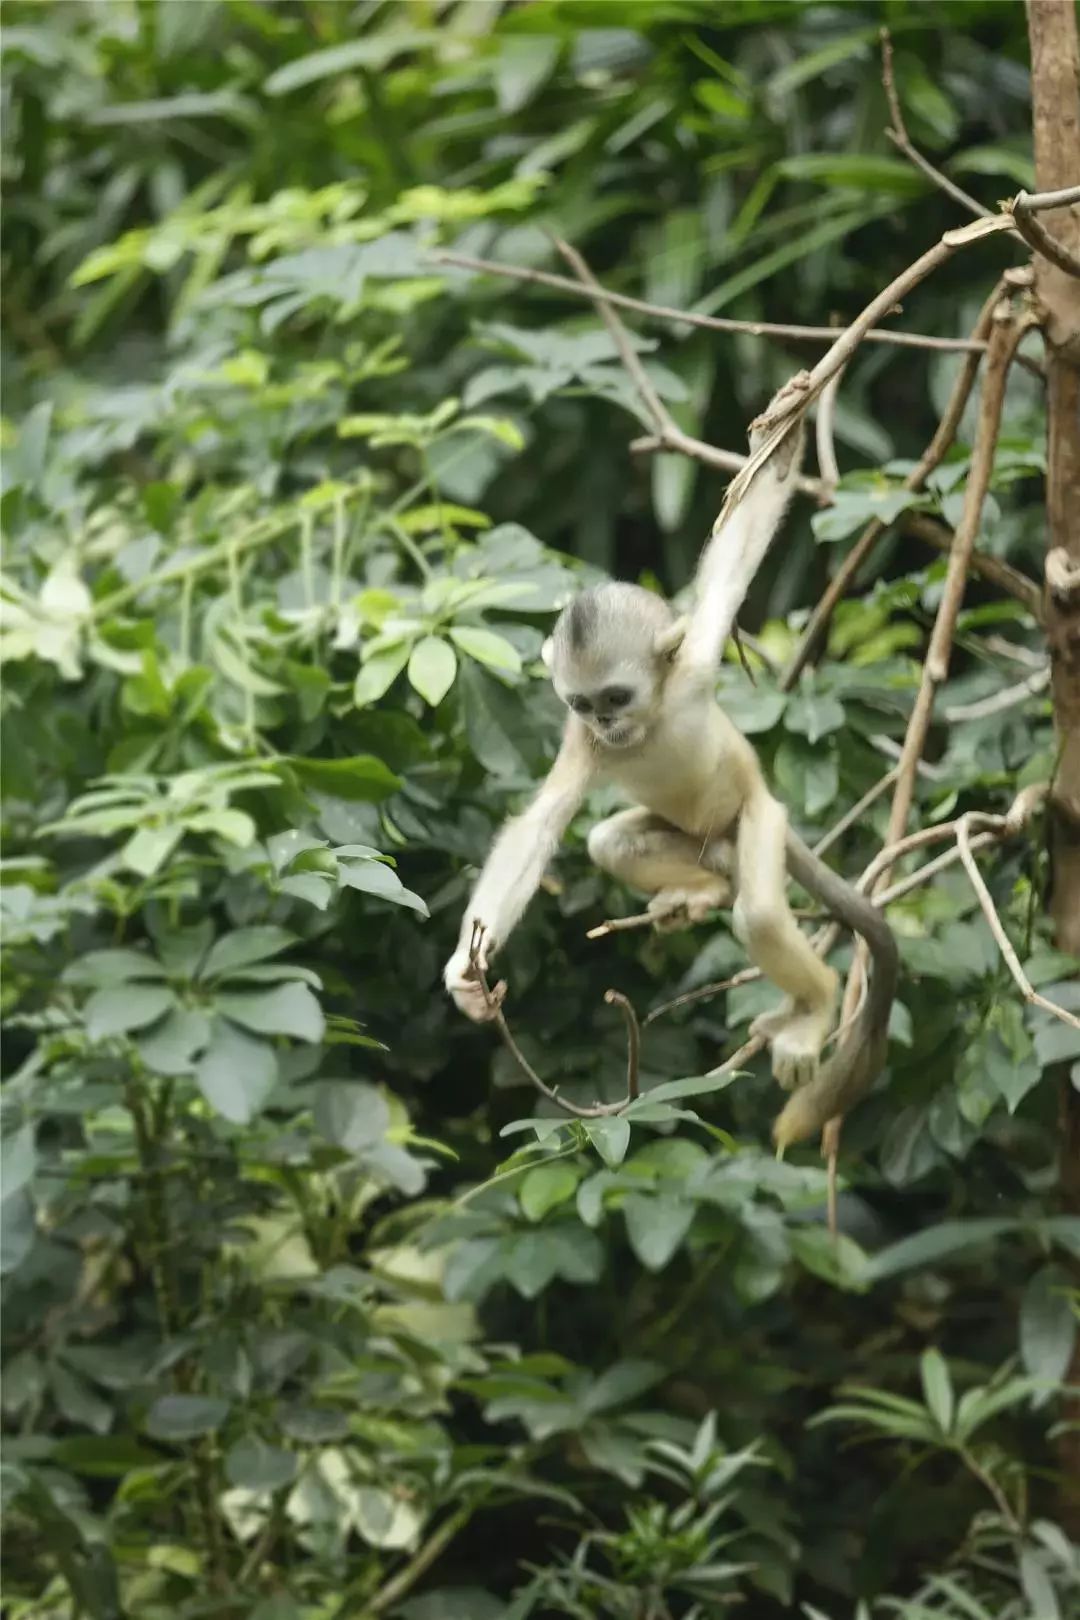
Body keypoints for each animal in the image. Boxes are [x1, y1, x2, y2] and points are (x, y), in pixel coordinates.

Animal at [443, 372, 900, 1146]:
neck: (653, 719)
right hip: (695, 839)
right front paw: (467, 974)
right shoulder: (582, 745)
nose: (608, 722)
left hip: (760, 819)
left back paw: (809, 1009)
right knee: (610, 841)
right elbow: (544, 822)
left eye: (617, 695)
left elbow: (735, 557)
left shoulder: (694, 663)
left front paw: (784, 431)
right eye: (583, 704)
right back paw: (702, 894)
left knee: (761, 914)